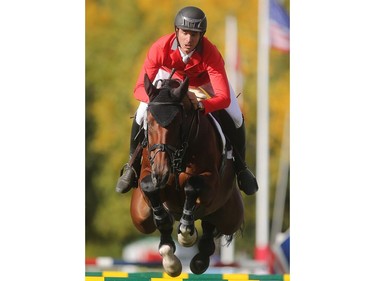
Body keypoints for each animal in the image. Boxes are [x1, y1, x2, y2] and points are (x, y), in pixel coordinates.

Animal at [130, 72, 247, 276]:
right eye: (149, 123)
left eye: (178, 123)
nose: (161, 172)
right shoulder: (148, 172)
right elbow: (149, 187)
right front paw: (170, 255)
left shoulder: (211, 181)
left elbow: (192, 187)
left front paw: (186, 233)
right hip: (140, 216)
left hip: (231, 216)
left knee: (210, 225)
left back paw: (199, 260)